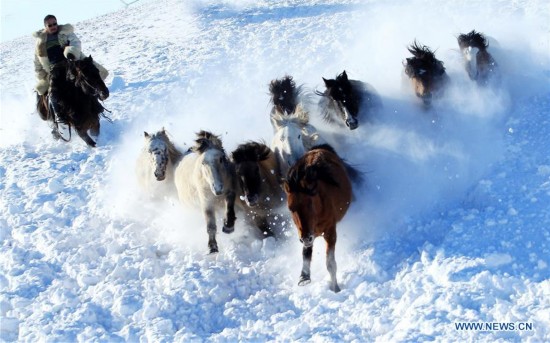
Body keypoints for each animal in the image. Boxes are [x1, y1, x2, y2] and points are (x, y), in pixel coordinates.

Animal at [282, 143, 356, 292]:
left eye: (310, 203)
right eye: (291, 208)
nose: (305, 238)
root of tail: (319, 148)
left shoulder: (330, 231)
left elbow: (330, 263)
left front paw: (335, 288)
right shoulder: (307, 233)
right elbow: (306, 254)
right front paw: (304, 277)